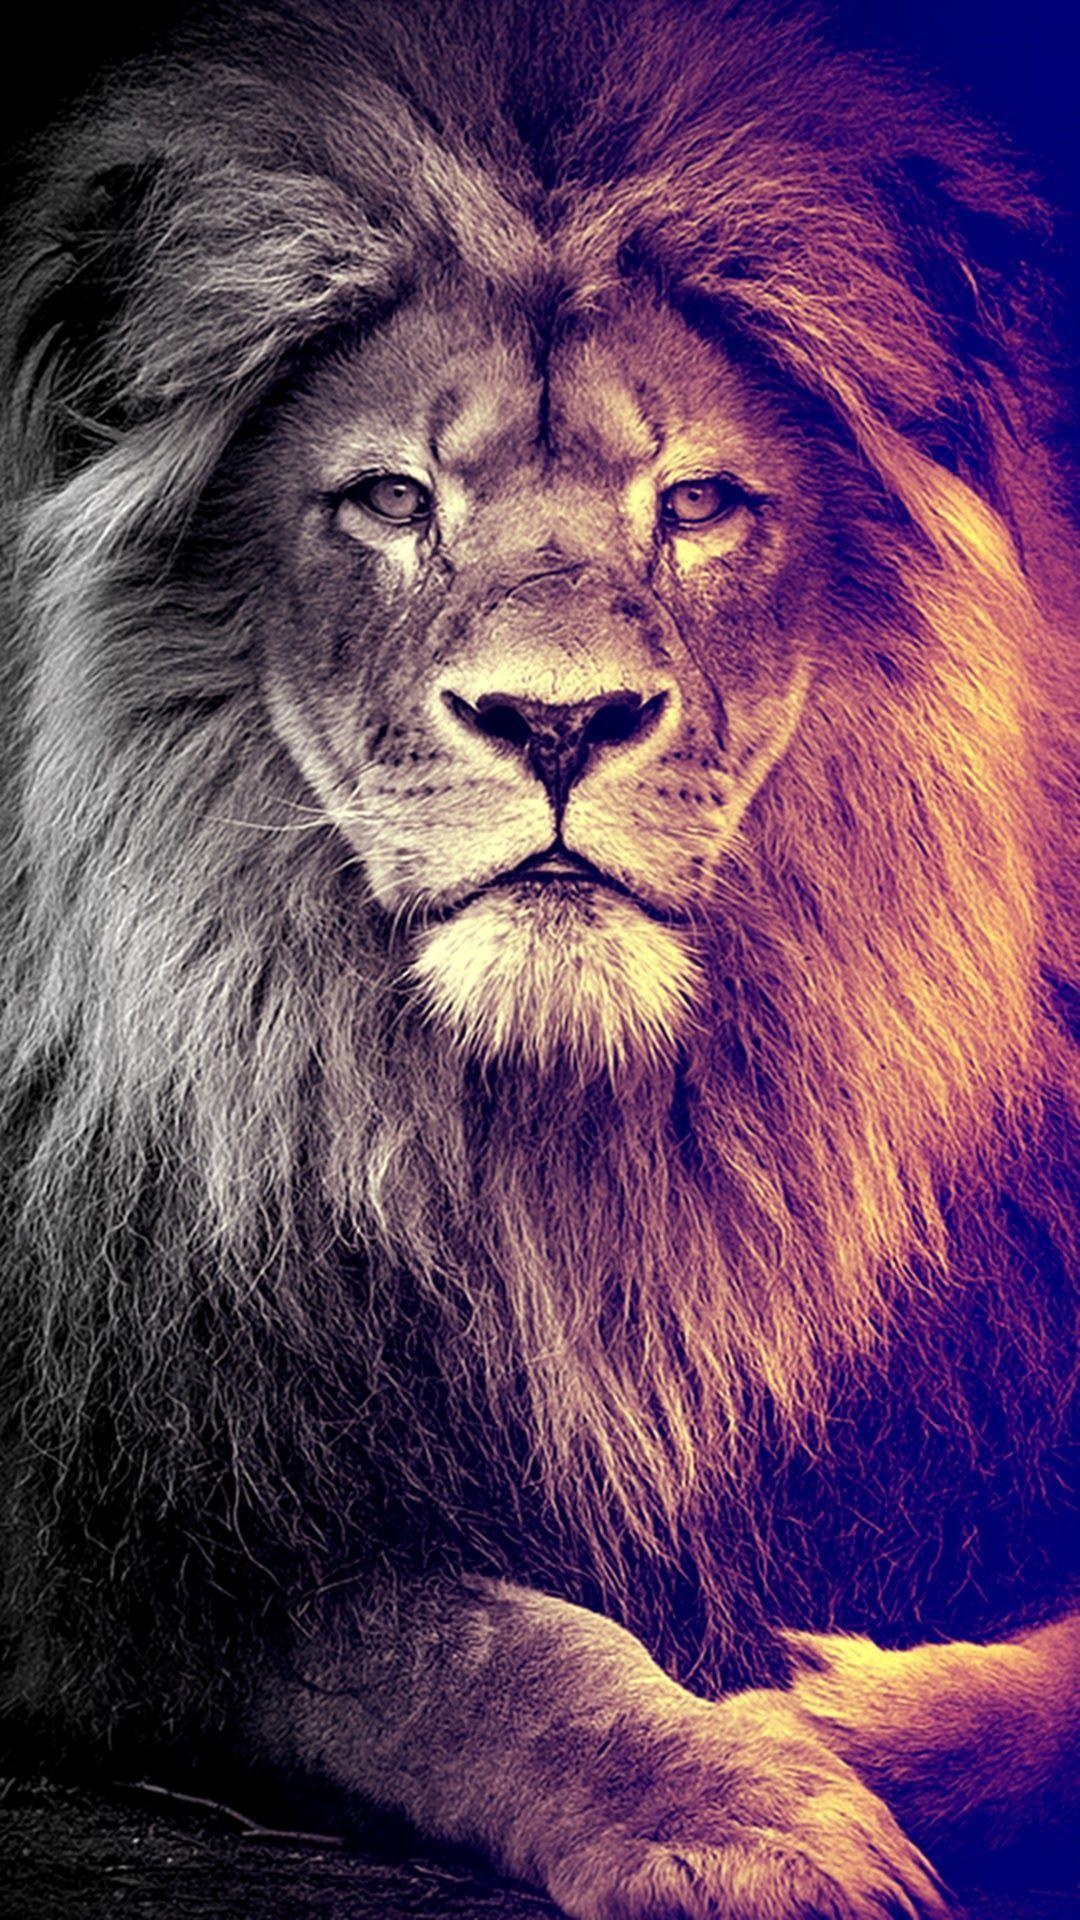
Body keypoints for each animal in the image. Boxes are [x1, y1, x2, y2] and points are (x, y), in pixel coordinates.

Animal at [1, 0, 1076, 1915]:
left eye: (703, 502)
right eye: (387, 500)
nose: (557, 719)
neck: (563, 1156)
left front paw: (845, 1720)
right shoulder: (144, 1534)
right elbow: (466, 1644)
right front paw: (742, 1805)